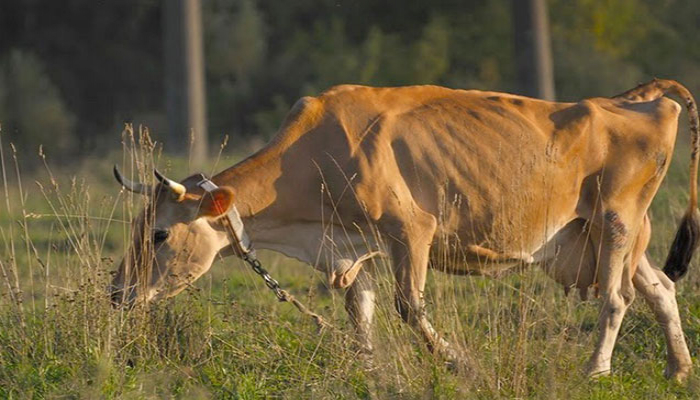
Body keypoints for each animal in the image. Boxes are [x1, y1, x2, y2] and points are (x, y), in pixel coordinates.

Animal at [112, 79, 696, 382]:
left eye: (160, 235)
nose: (117, 291)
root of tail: (640, 97)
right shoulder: (355, 249)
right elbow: (361, 314)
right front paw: (368, 372)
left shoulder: (411, 228)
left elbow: (409, 307)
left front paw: (460, 362)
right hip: (604, 237)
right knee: (661, 289)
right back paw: (677, 369)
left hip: (617, 220)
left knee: (617, 299)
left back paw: (595, 370)